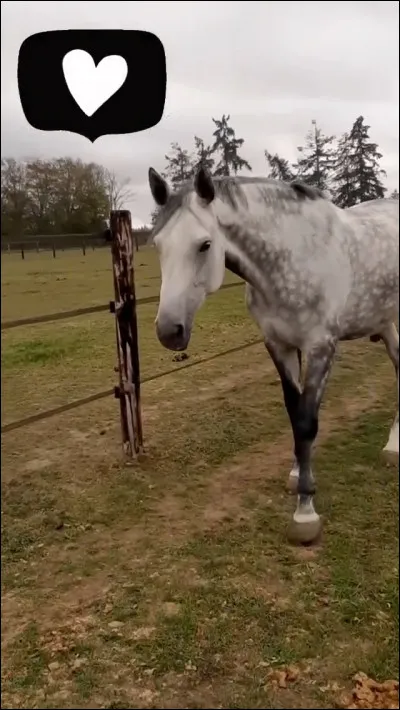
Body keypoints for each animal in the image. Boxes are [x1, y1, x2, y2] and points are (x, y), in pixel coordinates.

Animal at [148, 166, 399, 544]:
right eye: (159, 245)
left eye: (204, 245)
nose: (169, 331)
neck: (293, 255)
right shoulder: (279, 345)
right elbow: (294, 412)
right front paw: (297, 473)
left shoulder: (321, 346)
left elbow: (307, 421)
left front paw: (305, 511)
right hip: (386, 323)